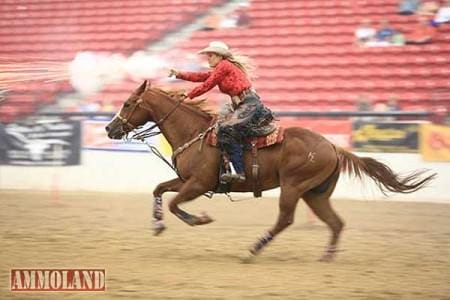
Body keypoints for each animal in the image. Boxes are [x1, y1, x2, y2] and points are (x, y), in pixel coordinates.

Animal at [105, 81, 436, 262]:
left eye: (129, 102)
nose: (109, 128)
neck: (194, 133)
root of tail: (332, 146)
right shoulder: (185, 180)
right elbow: (159, 189)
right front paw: (157, 225)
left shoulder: (198, 183)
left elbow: (176, 204)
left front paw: (200, 219)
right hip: (315, 194)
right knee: (336, 223)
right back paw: (326, 256)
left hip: (293, 187)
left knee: (285, 220)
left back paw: (252, 250)